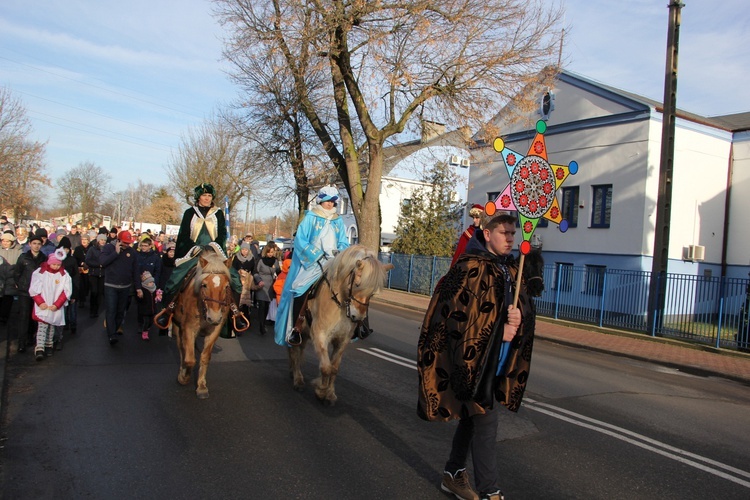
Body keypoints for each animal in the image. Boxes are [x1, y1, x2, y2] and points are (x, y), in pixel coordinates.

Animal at [173, 245, 234, 398]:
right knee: (181, 349)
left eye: (226, 286)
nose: (214, 317)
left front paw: (201, 386)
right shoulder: (188, 328)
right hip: (177, 326)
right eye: (204, 285)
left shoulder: (214, 330)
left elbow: (205, 357)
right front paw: (184, 377)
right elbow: (189, 359)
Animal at [288, 246, 394, 406]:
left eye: (374, 293)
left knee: (299, 352)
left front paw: (330, 393)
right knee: (294, 351)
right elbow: (326, 368)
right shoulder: (320, 334)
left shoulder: (342, 341)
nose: (358, 317)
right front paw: (321, 391)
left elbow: (334, 368)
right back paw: (298, 380)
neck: (339, 303)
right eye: (357, 284)